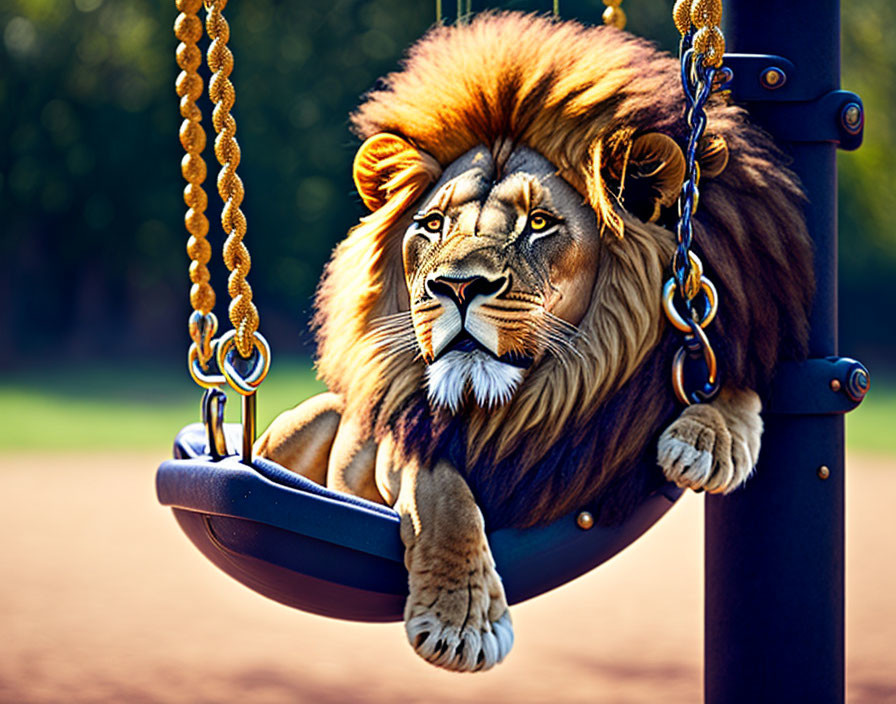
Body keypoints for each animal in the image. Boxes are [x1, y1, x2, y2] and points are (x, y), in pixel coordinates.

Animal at [256, 11, 816, 672]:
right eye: (432, 224)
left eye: (539, 224)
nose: (457, 286)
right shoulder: (407, 450)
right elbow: (442, 491)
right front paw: (462, 622)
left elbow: (733, 385)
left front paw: (706, 442)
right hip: (308, 418)